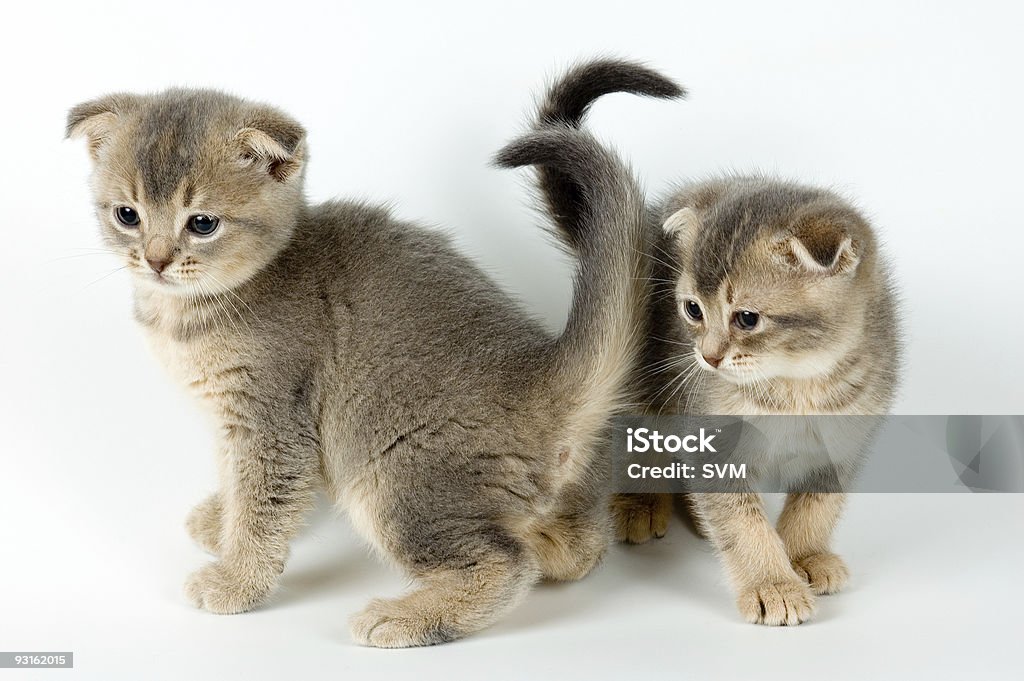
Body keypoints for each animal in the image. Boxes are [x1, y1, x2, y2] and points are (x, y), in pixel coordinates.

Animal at [68, 61, 684, 647]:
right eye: (127, 215)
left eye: (202, 223)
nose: (155, 260)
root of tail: (540, 375)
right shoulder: (232, 419)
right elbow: (236, 478)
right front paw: (223, 521)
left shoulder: (273, 421)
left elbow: (263, 503)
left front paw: (237, 579)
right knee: (579, 549)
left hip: (393, 477)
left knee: (504, 563)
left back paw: (407, 617)